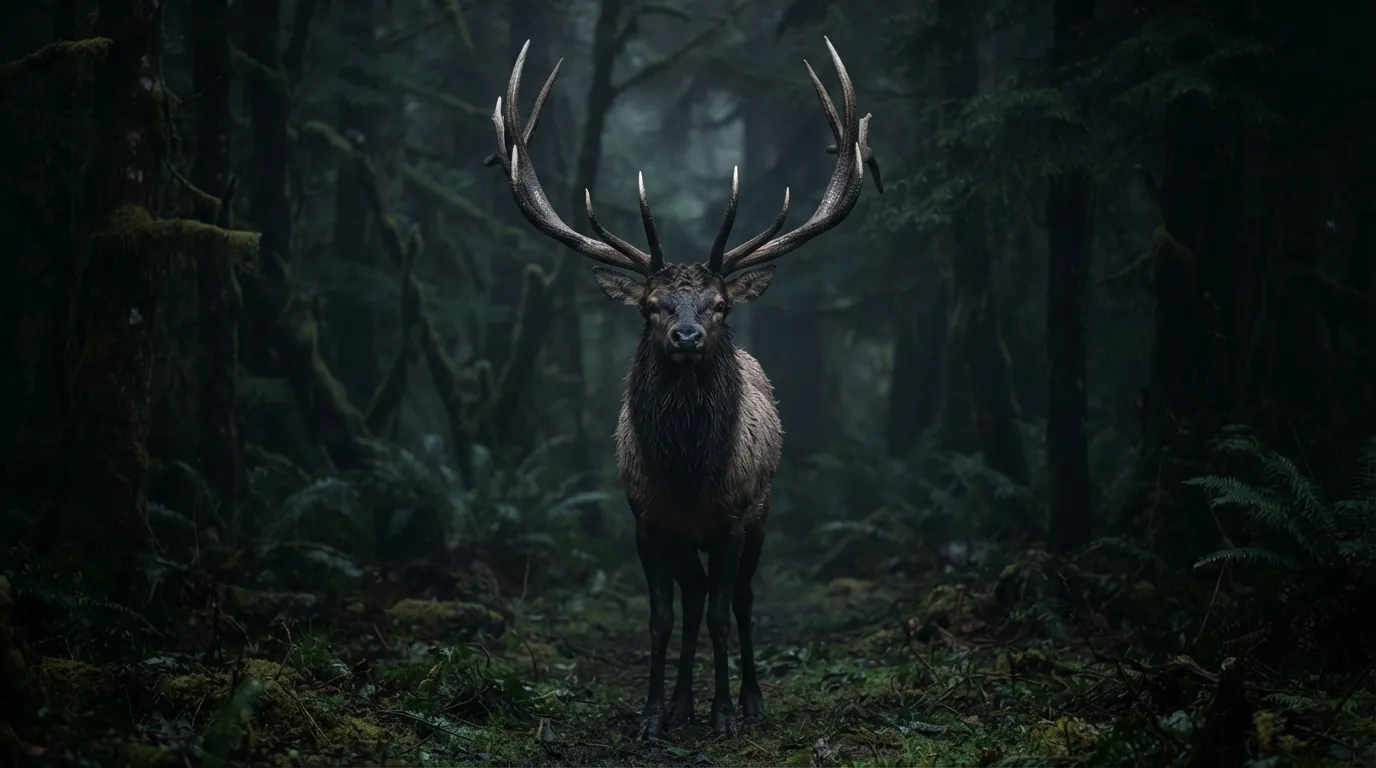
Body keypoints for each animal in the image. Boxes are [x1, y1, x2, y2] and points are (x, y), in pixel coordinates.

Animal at [485, 37, 881, 738]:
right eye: (651, 306)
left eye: (720, 305)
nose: (689, 336)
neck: (688, 474)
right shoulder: (646, 519)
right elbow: (662, 618)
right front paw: (651, 714)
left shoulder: (733, 516)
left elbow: (726, 611)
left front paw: (726, 712)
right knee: (693, 600)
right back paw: (679, 703)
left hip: (763, 511)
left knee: (740, 600)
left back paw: (746, 699)